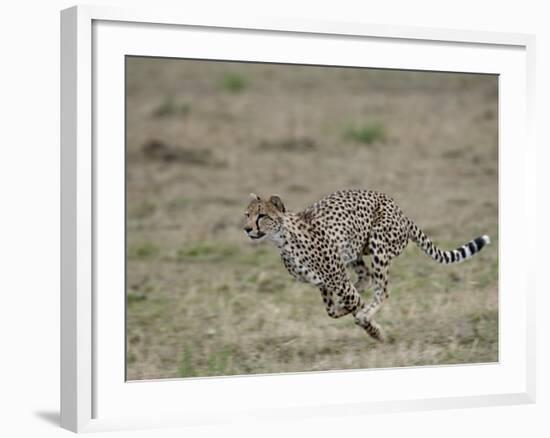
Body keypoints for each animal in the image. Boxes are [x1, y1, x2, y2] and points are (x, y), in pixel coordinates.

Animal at [244, 190, 494, 344]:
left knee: (382, 290)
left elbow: (353, 304)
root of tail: (397, 207)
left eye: (262, 215)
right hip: (355, 249)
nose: (247, 229)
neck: (283, 240)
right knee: (365, 277)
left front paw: (375, 331)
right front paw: (353, 313)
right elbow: (333, 310)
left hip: (378, 245)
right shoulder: (323, 283)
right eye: (247, 214)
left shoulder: (337, 279)